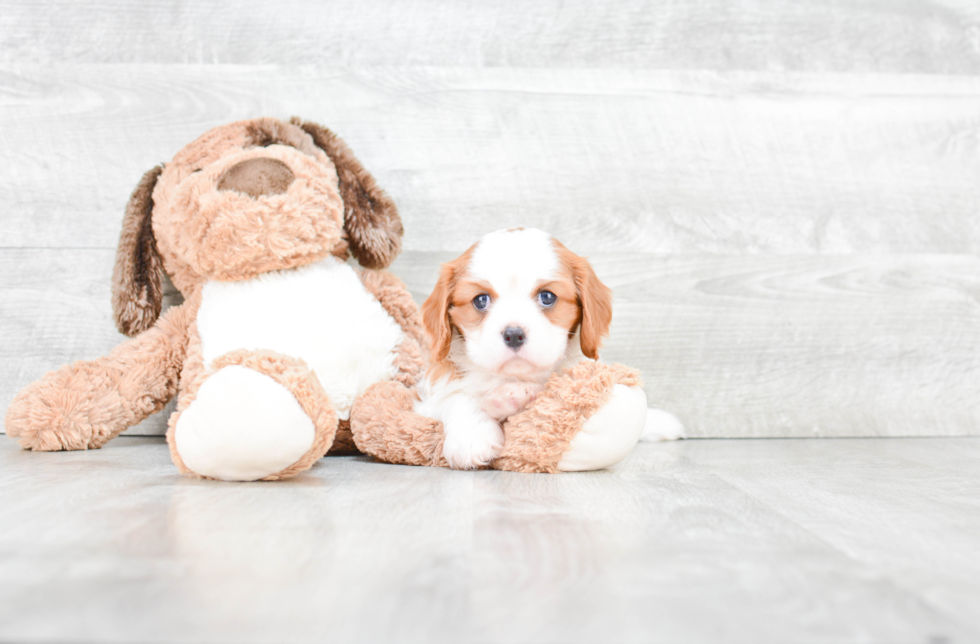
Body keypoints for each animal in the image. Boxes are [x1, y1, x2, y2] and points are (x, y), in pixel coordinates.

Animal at [416, 229, 612, 470]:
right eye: (481, 300)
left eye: (547, 297)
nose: (514, 335)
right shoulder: (427, 400)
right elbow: (457, 394)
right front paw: (472, 435)